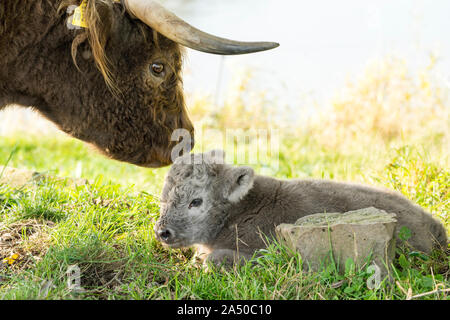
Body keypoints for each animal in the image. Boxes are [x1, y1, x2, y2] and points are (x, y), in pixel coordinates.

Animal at [154, 151, 446, 266]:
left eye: (196, 201)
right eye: (163, 198)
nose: (162, 232)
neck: (239, 212)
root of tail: (434, 224)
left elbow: (213, 260)